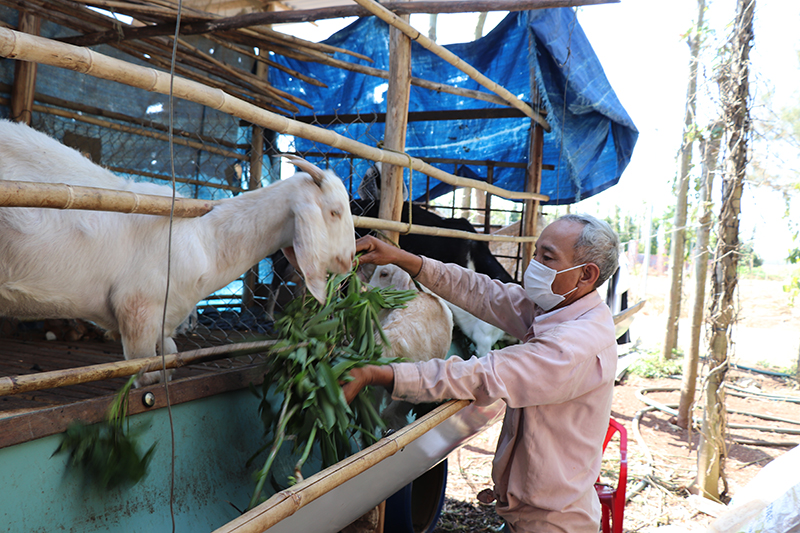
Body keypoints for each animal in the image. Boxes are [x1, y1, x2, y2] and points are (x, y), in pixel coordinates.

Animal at [0, 120, 356, 384]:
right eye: (335, 211)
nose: (350, 260)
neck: (206, 240)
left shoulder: (164, 319)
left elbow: (170, 355)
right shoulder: (137, 311)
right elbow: (146, 375)